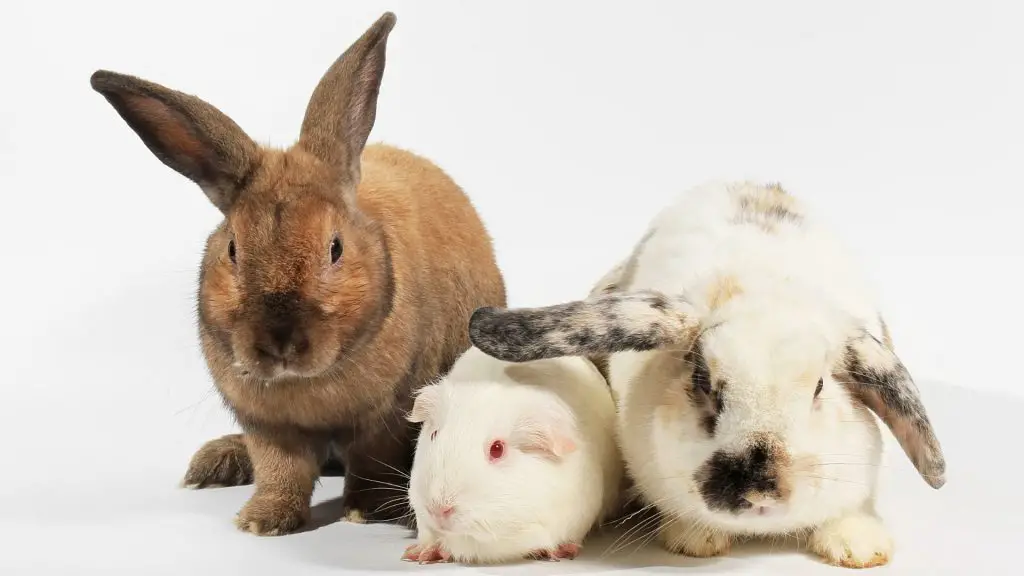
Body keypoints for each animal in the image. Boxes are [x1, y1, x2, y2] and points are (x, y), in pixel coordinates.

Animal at [90, 11, 505, 532]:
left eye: (335, 249)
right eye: (232, 249)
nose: (280, 342)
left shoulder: (388, 416)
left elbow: (372, 462)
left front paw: (364, 512)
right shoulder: (267, 425)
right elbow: (280, 470)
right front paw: (261, 521)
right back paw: (214, 464)